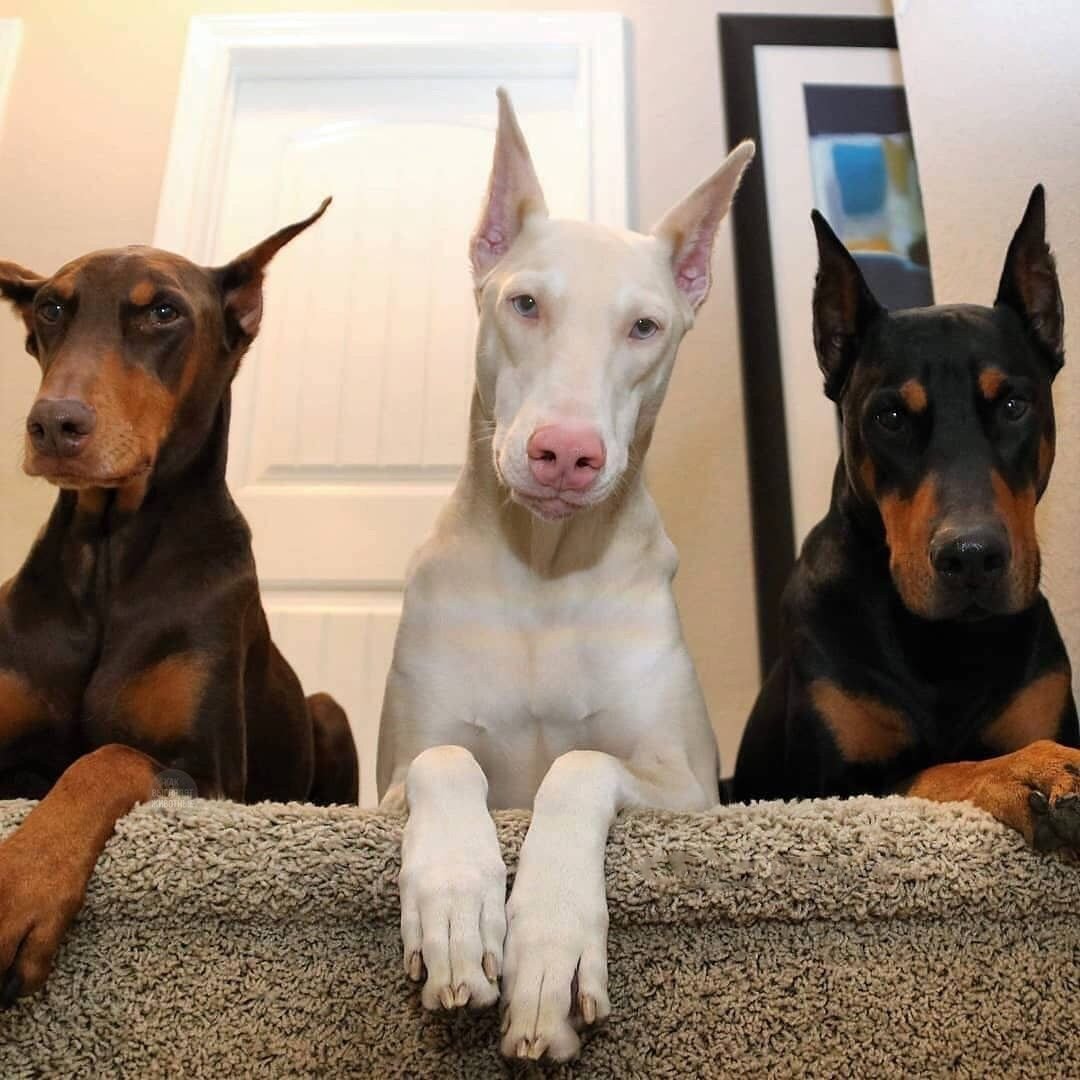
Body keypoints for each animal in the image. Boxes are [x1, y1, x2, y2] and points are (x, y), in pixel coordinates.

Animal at [0, 202, 358, 1004]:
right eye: (50, 308)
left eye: (163, 311)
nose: (53, 425)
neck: (108, 557)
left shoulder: (209, 779)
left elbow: (107, 758)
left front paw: (20, 886)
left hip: (327, 710)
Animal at [376, 90, 754, 1061]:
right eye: (526, 303)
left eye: (645, 327)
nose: (567, 454)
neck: (544, 567)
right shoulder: (389, 782)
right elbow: (442, 759)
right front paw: (458, 904)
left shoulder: (689, 790)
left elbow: (580, 763)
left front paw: (549, 945)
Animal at [734, 186, 1080, 854]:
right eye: (890, 416)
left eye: (1013, 404)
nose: (971, 558)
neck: (944, 645)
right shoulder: (829, 790)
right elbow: (939, 767)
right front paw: (1032, 768)